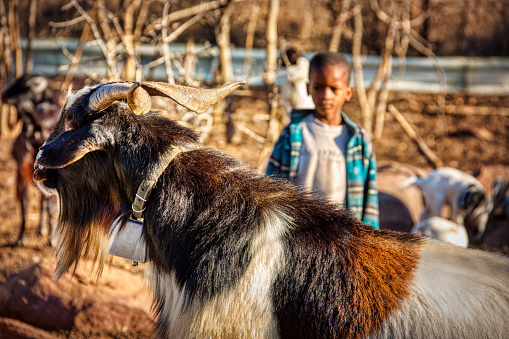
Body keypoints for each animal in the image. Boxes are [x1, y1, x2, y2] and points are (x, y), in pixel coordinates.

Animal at [1, 75, 60, 246]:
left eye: (21, 85)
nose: (4, 95)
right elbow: (44, 203)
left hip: (24, 172)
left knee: (25, 203)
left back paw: (22, 238)